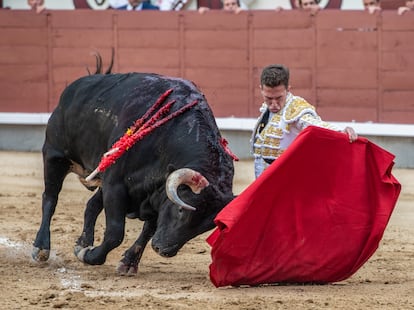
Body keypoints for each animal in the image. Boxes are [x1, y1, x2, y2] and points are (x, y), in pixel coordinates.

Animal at [31, 72, 236, 274]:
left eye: (205, 227)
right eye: (181, 210)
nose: (164, 250)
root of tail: (73, 89)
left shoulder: (156, 196)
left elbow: (147, 231)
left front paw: (127, 263)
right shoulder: (115, 185)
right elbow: (115, 233)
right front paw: (90, 256)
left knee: (91, 205)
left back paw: (82, 243)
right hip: (54, 155)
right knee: (50, 198)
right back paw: (41, 248)